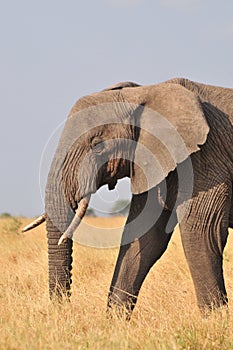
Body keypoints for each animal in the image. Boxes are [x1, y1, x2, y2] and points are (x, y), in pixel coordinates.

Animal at [23, 78, 233, 318]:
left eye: (97, 145)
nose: (61, 310)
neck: (143, 93)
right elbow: (143, 237)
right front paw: (112, 323)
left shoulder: (206, 157)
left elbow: (202, 232)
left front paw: (215, 321)